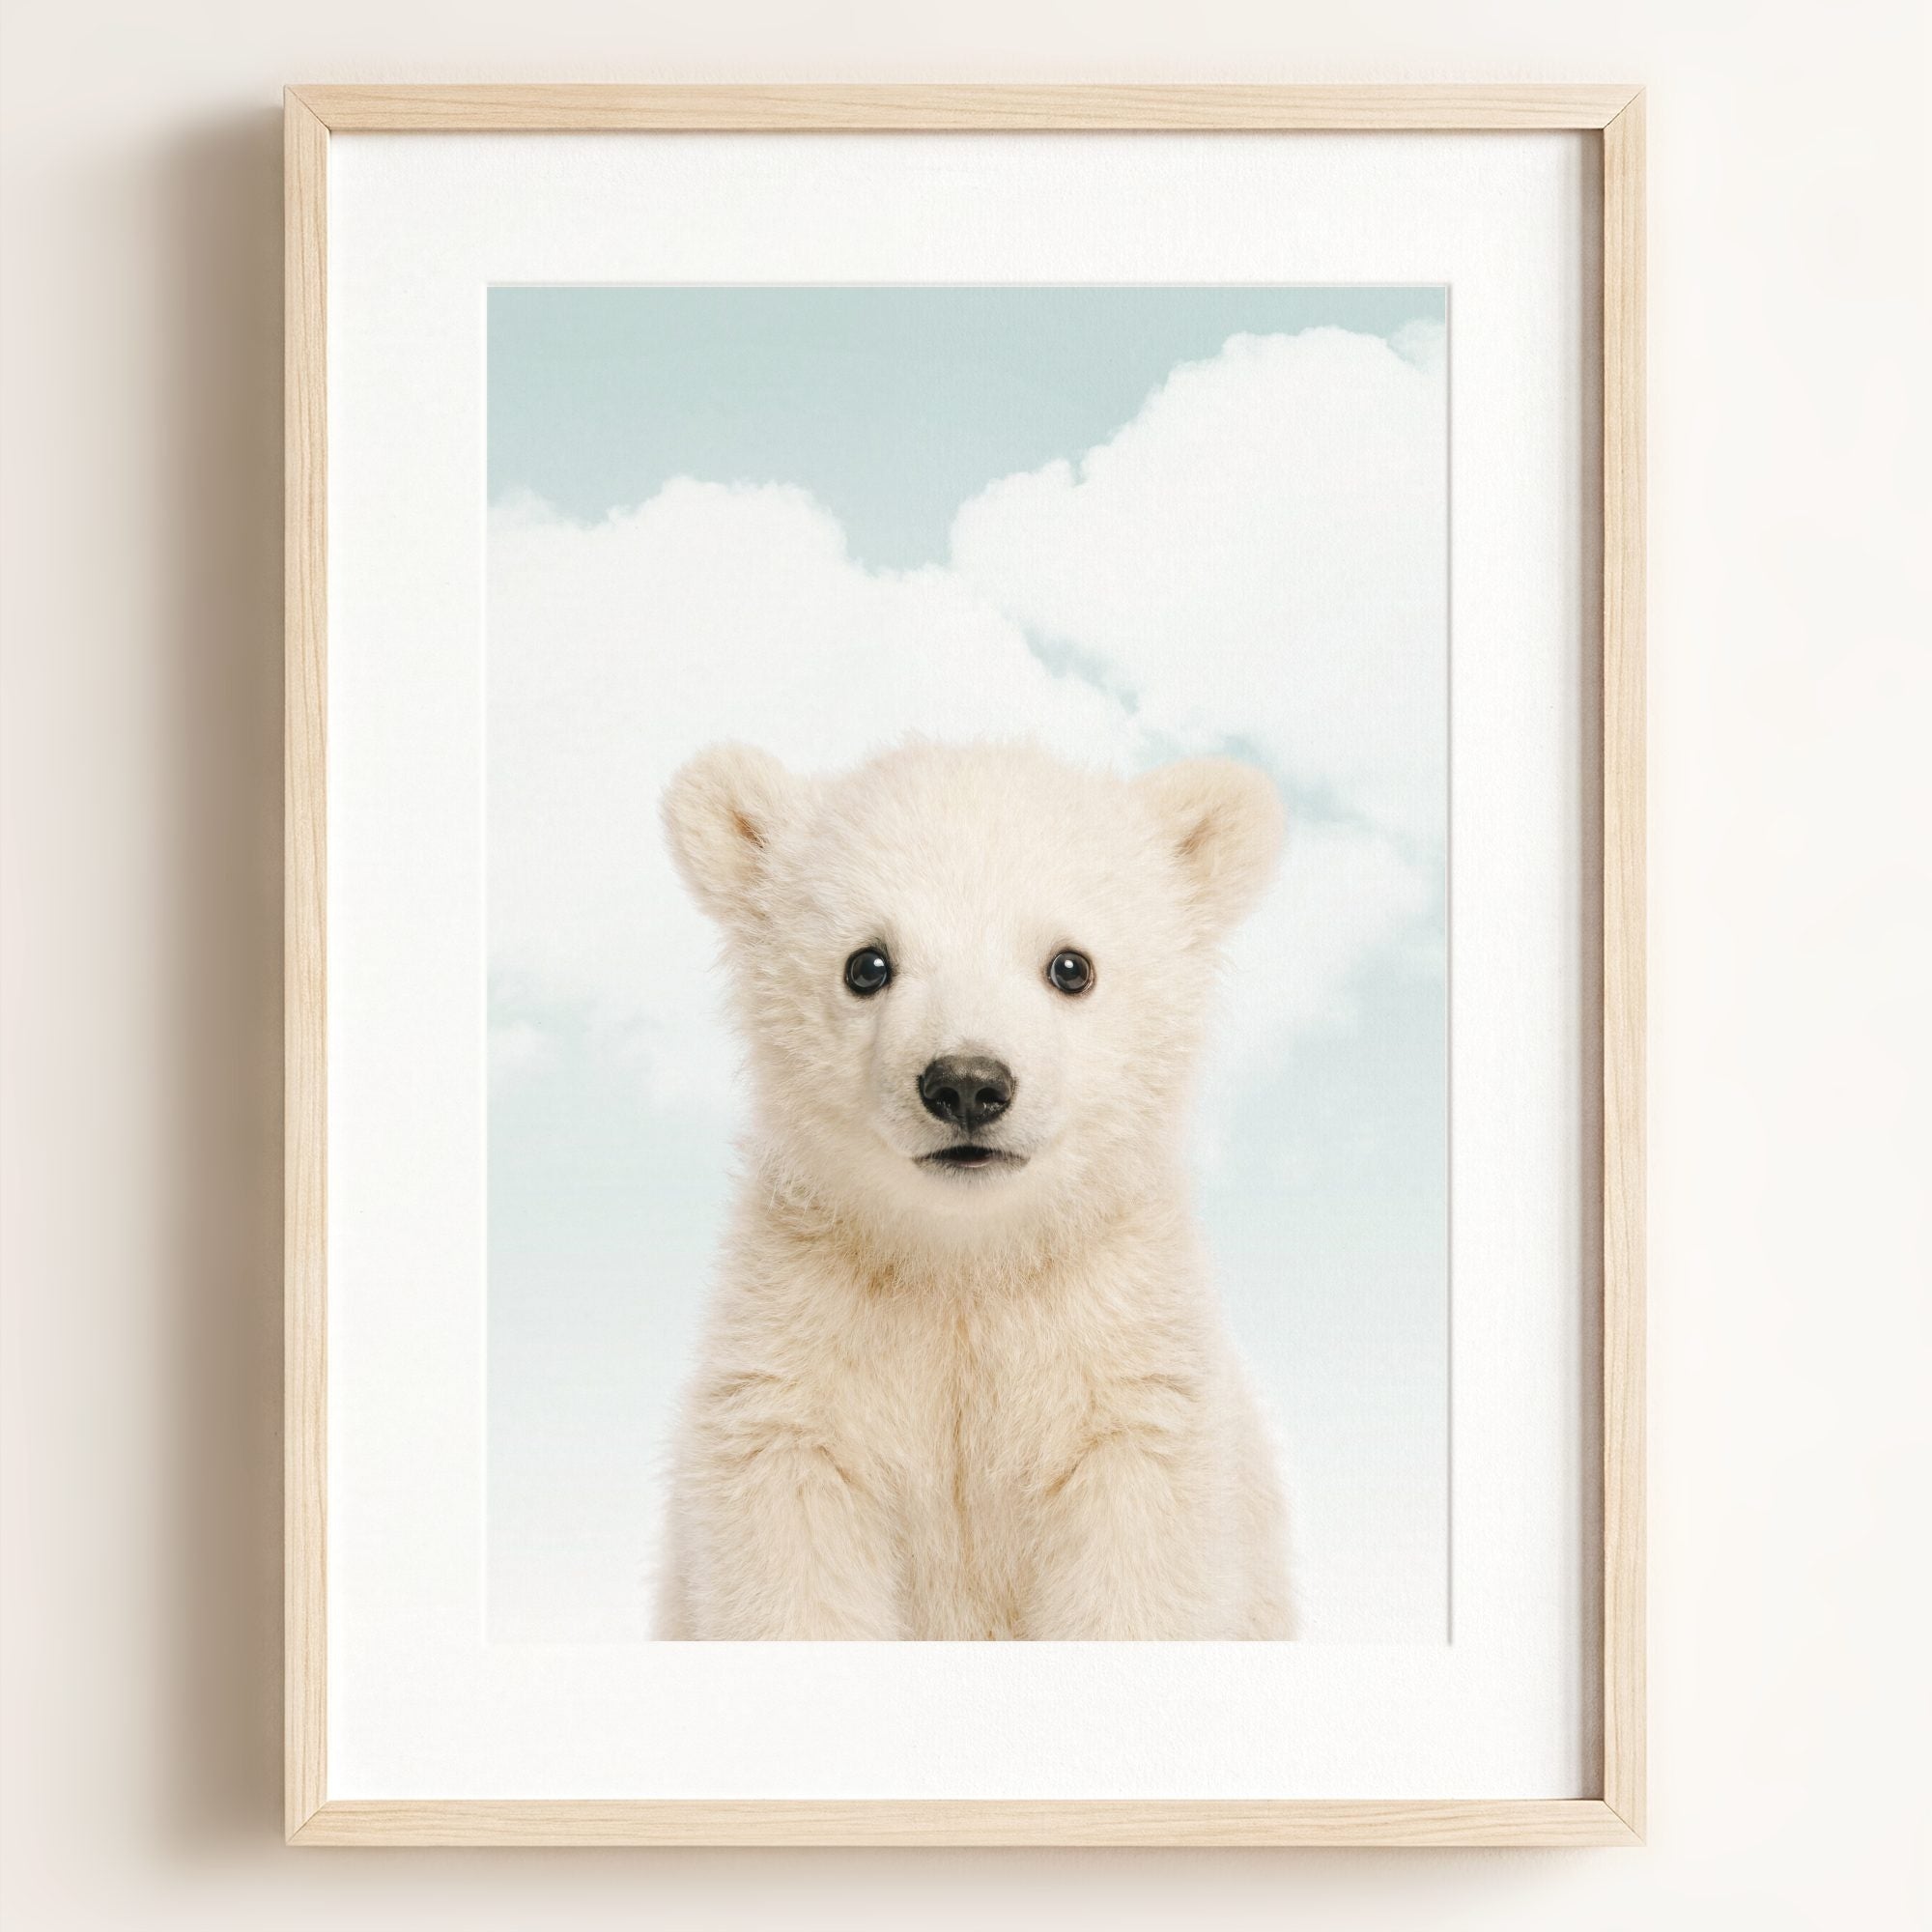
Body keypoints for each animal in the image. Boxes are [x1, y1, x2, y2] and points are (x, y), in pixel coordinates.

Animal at [653, 738, 1295, 1639]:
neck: (966, 1261)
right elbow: (792, 1563)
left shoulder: (1125, 1377)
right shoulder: (798, 1366)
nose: (966, 1084)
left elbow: (1136, 1574)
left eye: (1071, 966)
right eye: (867, 964)